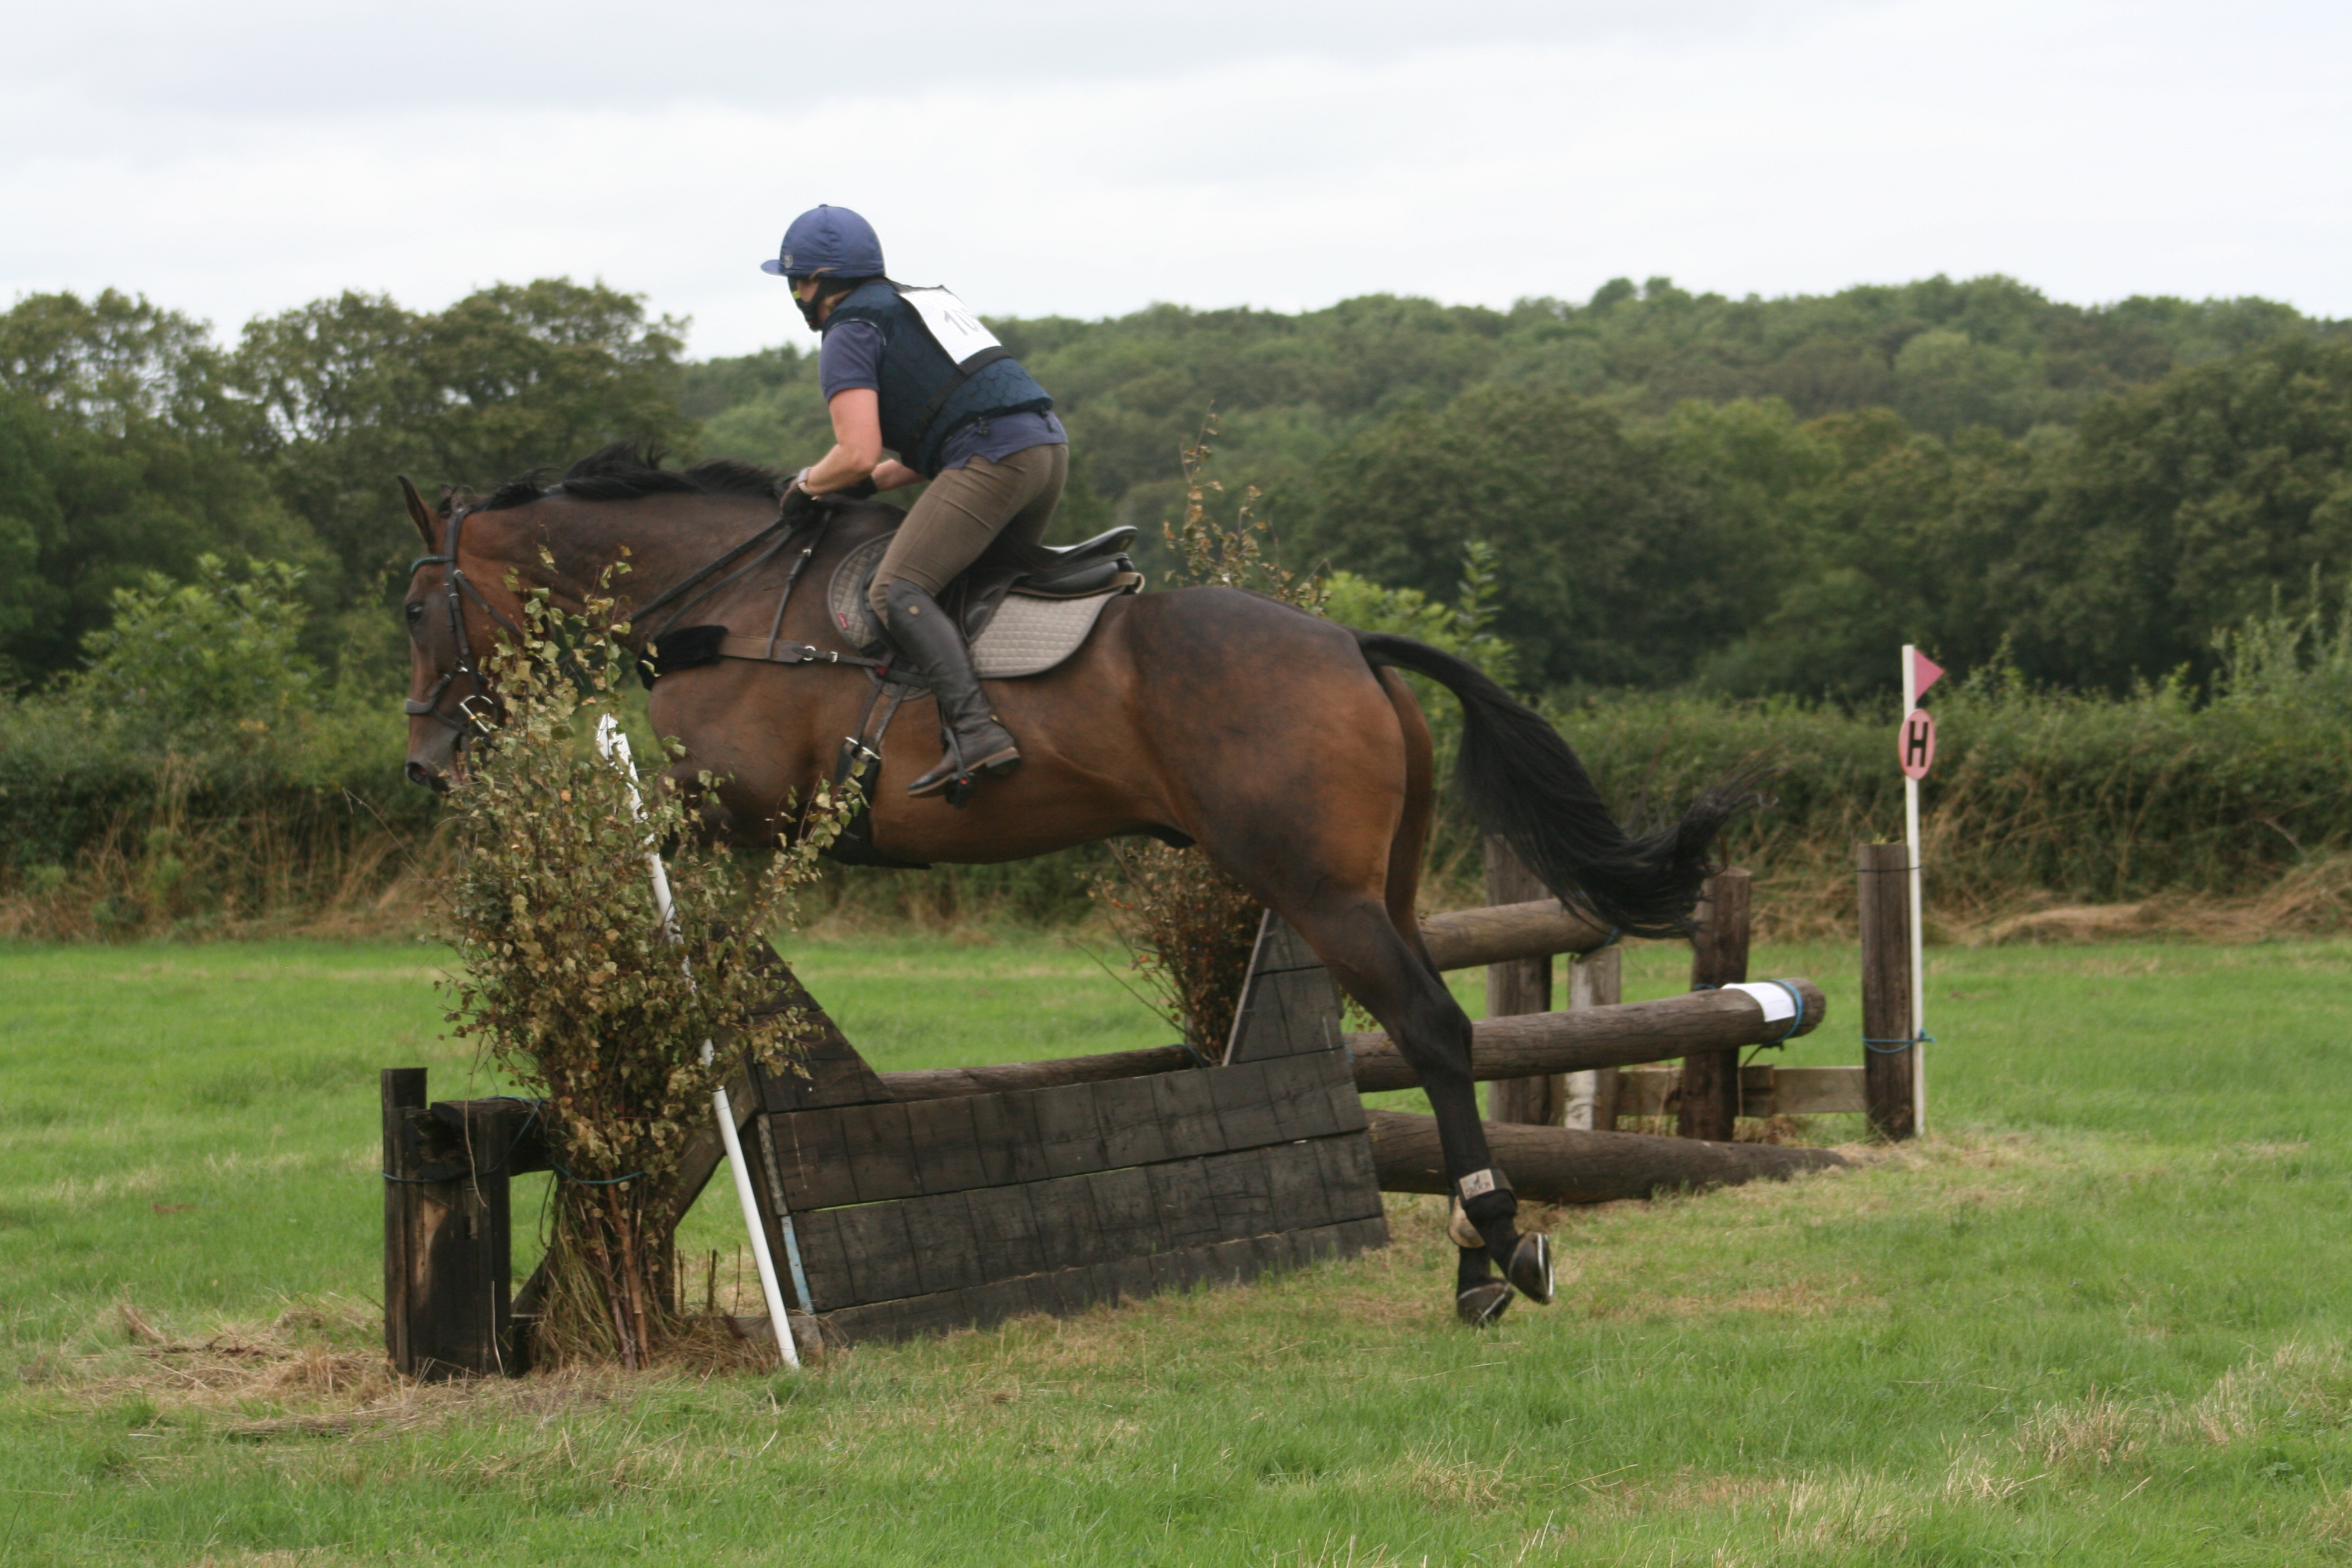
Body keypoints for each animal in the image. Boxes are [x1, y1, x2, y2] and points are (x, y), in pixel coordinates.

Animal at [401, 444, 1750, 1325]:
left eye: (418, 607)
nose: (424, 765)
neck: (726, 602)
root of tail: (1349, 643)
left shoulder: (735, 804)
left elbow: (666, 874)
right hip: (1385, 884)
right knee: (1439, 1027)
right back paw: (1478, 1257)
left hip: (1318, 888)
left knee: (1430, 1027)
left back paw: (1494, 1256)